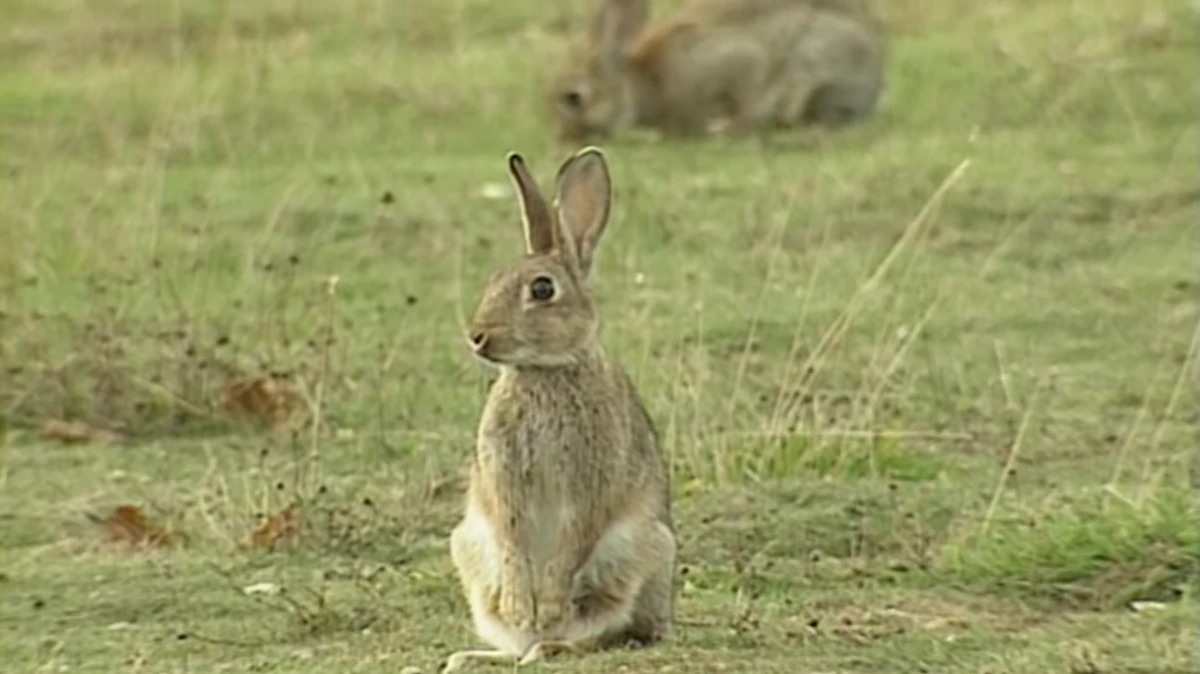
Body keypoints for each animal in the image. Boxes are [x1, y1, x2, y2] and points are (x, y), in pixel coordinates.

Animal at [441, 147, 676, 673]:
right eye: (494, 280)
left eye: (543, 290)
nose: (477, 336)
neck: (544, 370)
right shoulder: (503, 478)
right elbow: (511, 534)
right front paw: (519, 604)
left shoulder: (591, 482)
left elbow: (572, 541)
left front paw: (545, 605)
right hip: (468, 549)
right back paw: (473, 655)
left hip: (639, 556)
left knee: (606, 633)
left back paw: (549, 642)